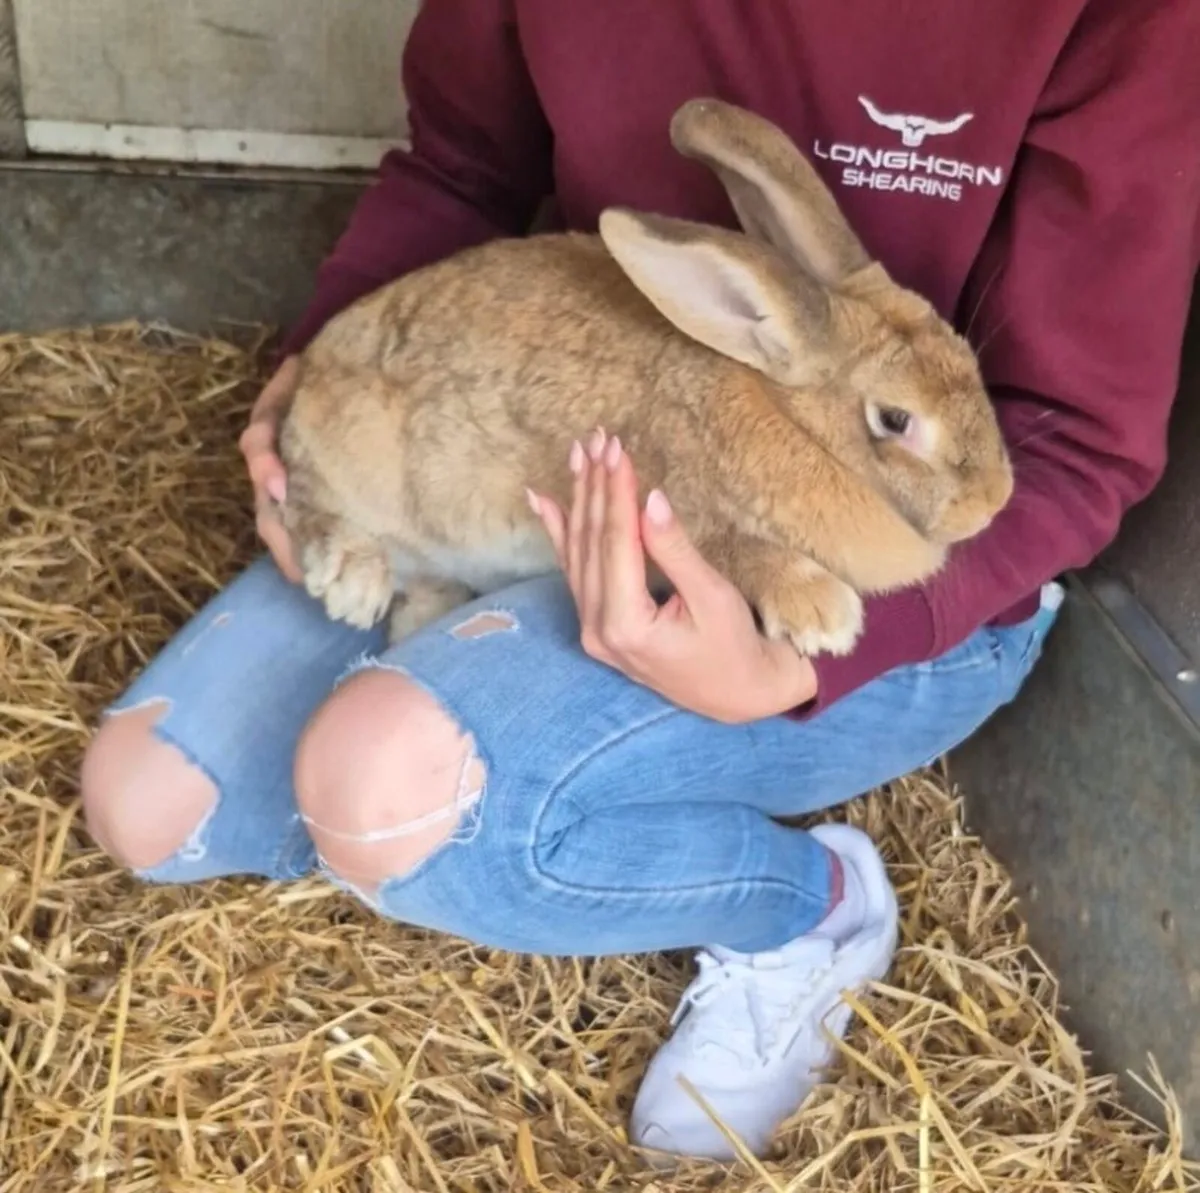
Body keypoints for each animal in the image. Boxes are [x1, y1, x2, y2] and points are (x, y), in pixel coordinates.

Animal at [276, 97, 1014, 658]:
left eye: (969, 364)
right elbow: (735, 549)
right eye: (895, 419)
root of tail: (307, 375)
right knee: (306, 501)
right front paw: (823, 613)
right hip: (352, 451)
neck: (799, 426)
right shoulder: (656, 502)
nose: (993, 504)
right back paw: (354, 584)